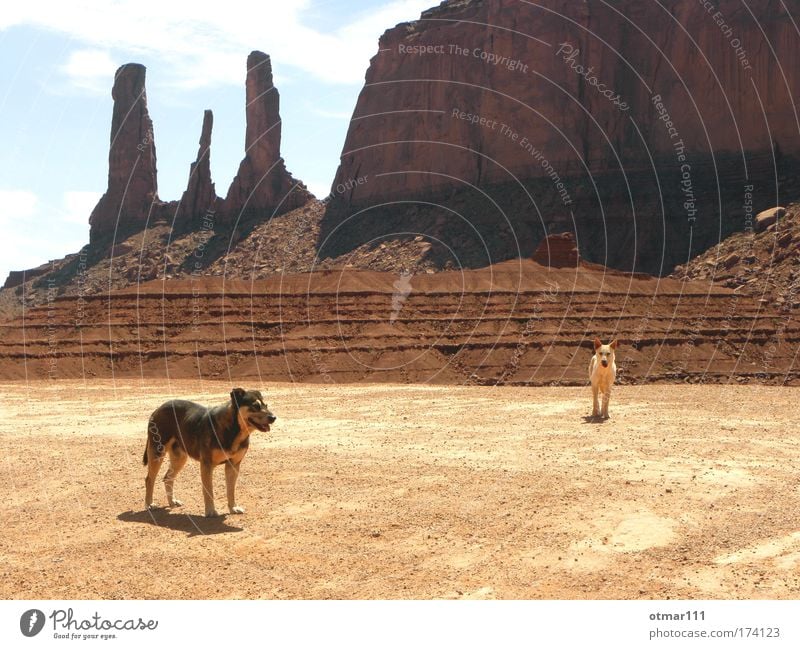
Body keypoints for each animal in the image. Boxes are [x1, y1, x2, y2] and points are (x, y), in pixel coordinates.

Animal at [145, 388, 276, 512]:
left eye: (266, 405)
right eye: (256, 406)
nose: (274, 417)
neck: (234, 430)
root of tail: (158, 409)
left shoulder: (233, 465)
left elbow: (231, 490)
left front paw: (233, 508)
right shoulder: (206, 465)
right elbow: (208, 491)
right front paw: (210, 511)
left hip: (179, 458)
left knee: (168, 478)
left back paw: (172, 501)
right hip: (157, 452)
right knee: (149, 479)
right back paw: (149, 504)